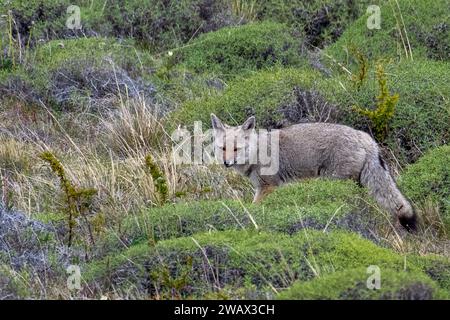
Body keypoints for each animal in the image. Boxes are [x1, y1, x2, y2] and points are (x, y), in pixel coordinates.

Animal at [213, 114, 416, 231]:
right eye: (223, 148)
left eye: (236, 149)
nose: (226, 163)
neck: (256, 152)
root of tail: (365, 137)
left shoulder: (267, 187)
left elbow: (253, 209)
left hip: (336, 183)